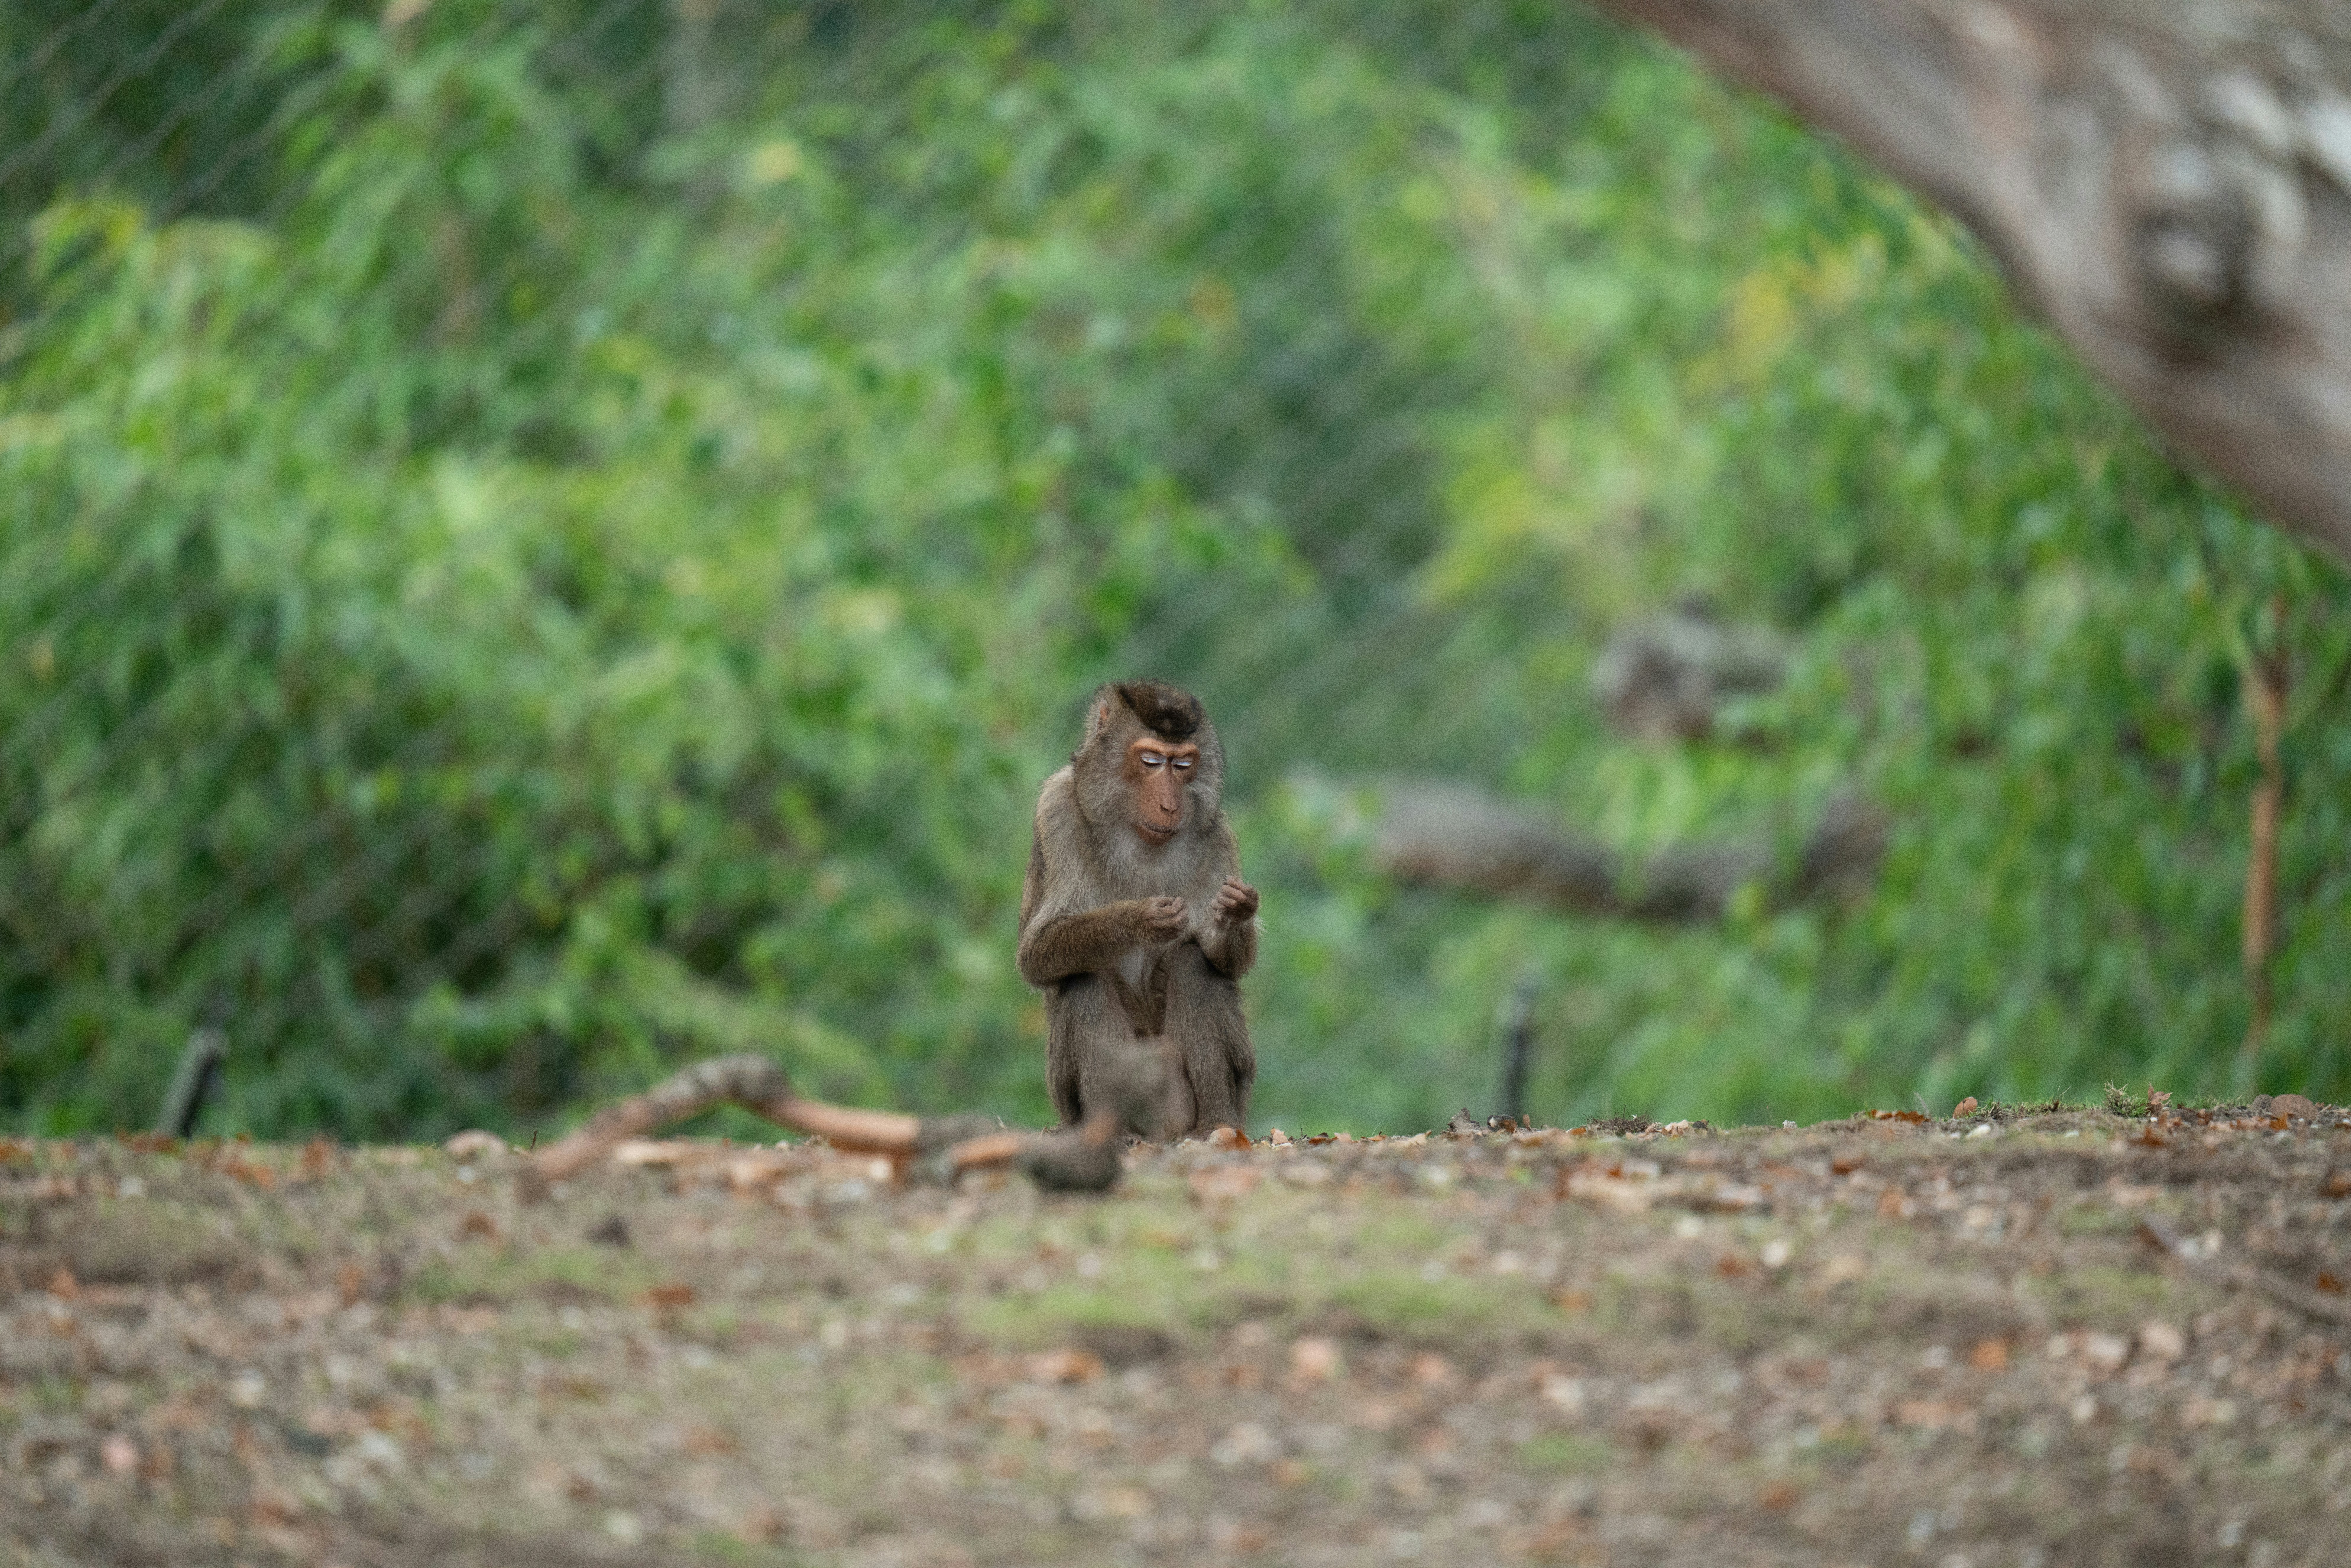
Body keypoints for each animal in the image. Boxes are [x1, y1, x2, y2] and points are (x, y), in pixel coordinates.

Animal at [1016, 680, 1260, 1140]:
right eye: (1150, 762)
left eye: (1182, 764)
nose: (1170, 805)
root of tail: (1162, 1129)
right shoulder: (1056, 808)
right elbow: (1036, 953)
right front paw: (1141, 921)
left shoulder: (1217, 834)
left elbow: (1224, 962)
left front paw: (1234, 914)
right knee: (1083, 978)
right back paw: (1107, 1129)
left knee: (1191, 963)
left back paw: (1217, 1123)